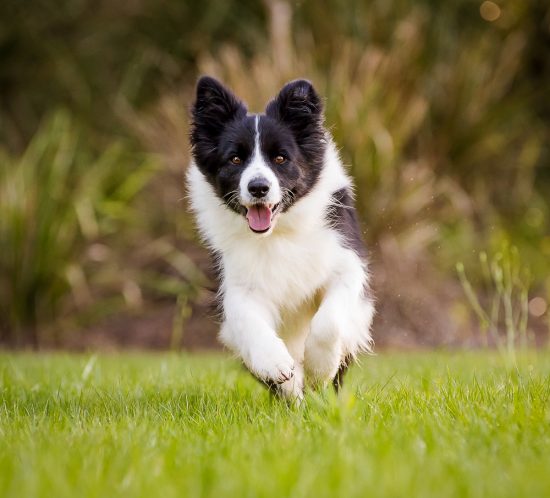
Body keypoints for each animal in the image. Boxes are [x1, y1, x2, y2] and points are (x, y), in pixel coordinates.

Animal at [189, 77, 376, 396]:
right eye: (235, 159)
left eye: (280, 158)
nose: (258, 188)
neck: (278, 233)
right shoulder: (238, 283)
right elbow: (248, 320)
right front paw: (276, 364)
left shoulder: (347, 265)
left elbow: (329, 322)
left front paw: (319, 369)